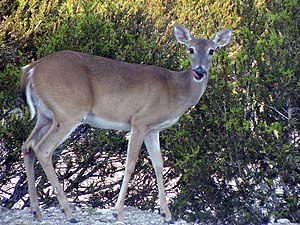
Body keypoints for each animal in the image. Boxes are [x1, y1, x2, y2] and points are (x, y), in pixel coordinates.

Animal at [21, 23, 232, 222]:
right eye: (190, 49)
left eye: (212, 50)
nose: (199, 71)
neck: (175, 90)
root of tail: (31, 69)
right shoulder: (140, 121)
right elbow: (130, 163)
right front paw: (117, 213)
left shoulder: (153, 130)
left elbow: (158, 164)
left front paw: (166, 214)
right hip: (68, 112)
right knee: (43, 149)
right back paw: (68, 212)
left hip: (46, 116)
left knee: (28, 145)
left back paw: (36, 211)